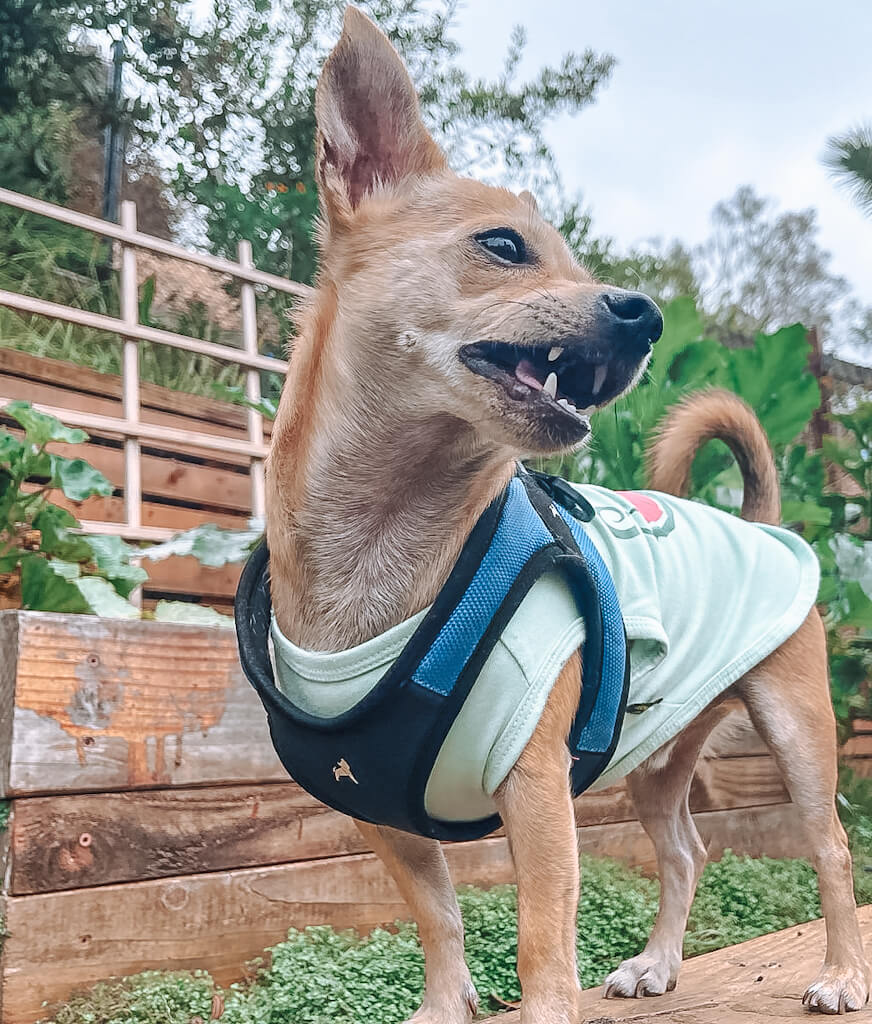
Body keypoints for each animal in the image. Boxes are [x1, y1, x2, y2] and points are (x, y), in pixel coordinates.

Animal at [262, 6, 867, 1015]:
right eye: (504, 246)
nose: (646, 315)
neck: (393, 548)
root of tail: (761, 519)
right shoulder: (384, 818)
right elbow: (440, 920)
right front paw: (442, 1007)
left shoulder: (537, 793)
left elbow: (543, 941)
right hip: (659, 760)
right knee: (684, 850)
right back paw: (659, 963)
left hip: (799, 736)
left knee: (831, 848)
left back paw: (842, 973)